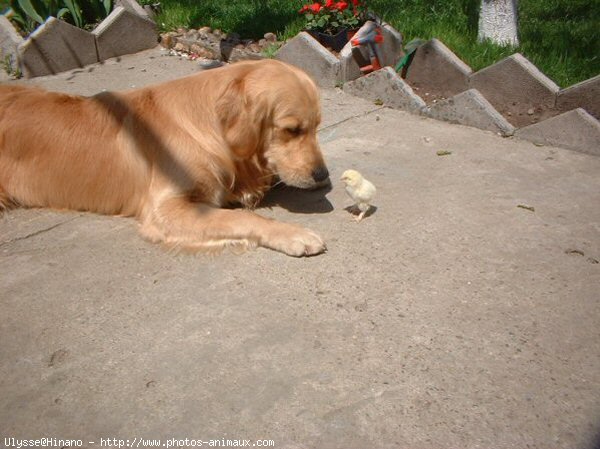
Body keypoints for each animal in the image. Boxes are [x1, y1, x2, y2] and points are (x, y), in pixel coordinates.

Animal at [0, 59, 332, 256]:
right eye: (291, 130)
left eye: (318, 126)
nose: (322, 174)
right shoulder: (166, 207)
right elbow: (240, 216)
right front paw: (292, 233)